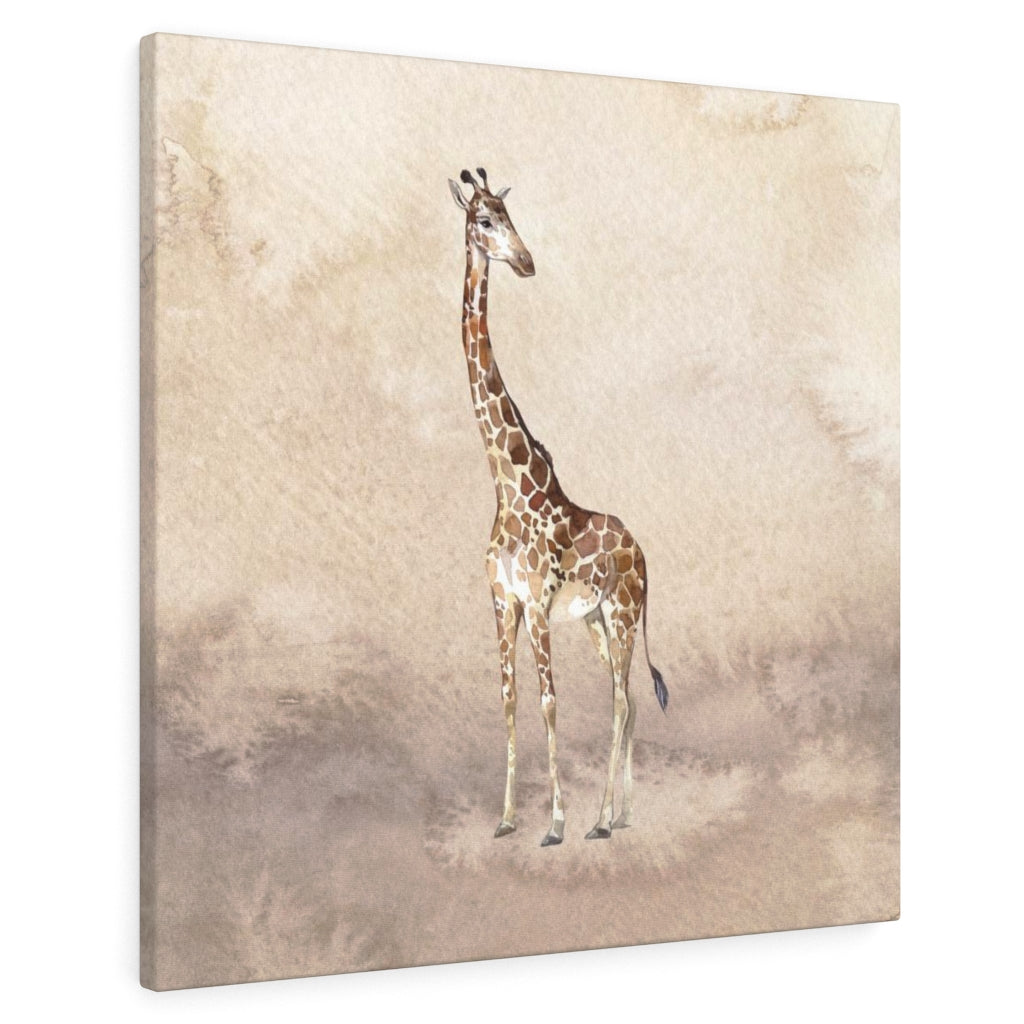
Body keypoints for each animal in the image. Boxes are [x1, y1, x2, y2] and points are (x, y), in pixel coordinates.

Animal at [450, 167, 668, 847]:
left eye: (509, 216)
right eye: (483, 221)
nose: (525, 262)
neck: (507, 485)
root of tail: (643, 554)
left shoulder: (539, 603)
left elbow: (550, 701)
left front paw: (554, 823)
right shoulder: (503, 602)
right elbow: (510, 699)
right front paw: (506, 818)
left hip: (622, 615)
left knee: (622, 699)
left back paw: (599, 820)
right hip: (598, 621)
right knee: (628, 697)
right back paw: (621, 814)